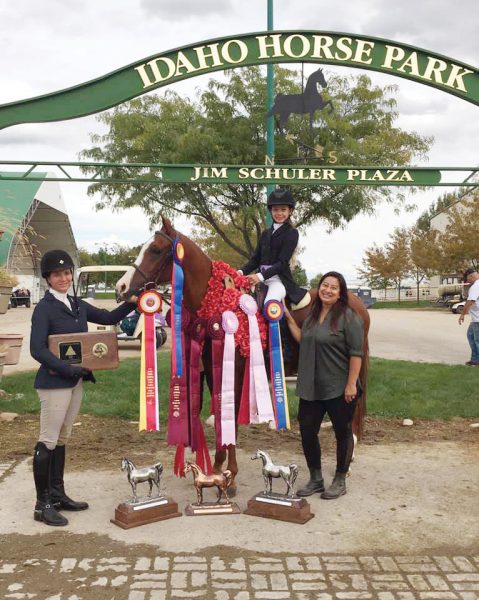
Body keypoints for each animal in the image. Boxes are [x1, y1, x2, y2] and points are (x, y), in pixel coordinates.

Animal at [116, 218, 372, 490]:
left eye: (155, 250)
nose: (121, 286)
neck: (218, 303)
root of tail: (355, 302)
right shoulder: (213, 371)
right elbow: (220, 415)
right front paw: (218, 468)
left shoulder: (235, 371)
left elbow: (230, 416)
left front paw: (231, 474)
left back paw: (348, 458)